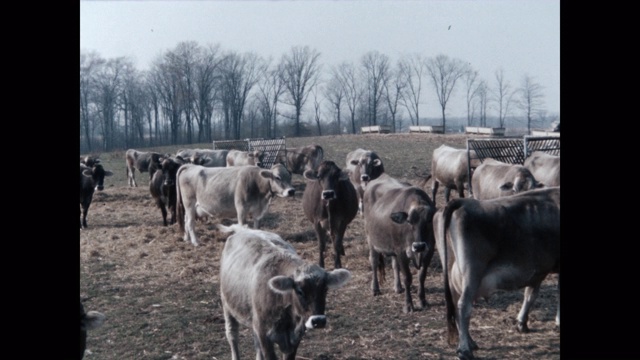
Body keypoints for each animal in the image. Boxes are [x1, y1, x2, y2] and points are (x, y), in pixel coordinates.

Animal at [219, 225, 350, 360]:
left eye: (325, 289)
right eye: (299, 291)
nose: (318, 321)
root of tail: (243, 229)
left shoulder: (294, 338)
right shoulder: (264, 334)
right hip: (227, 305)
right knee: (232, 336)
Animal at [362, 173, 438, 314]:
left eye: (429, 220)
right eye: (409, 221)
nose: (419, 246)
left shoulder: (429, 251)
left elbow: (422, 276)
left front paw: (422, 301)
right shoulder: (402, 252)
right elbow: (407, 277)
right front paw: (408, 305)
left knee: (394, 264)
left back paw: (398, 287)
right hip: (371, 240)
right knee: (374, 262)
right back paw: (375, 288)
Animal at [436, 187, 560, 358]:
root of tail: (462, 202)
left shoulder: (537, 271)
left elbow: (530, 295)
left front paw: (522, 323)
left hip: (452, 272)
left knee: (455, 304)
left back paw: (471, 342)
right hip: (472, 272)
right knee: (463, 305)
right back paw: (464, 349)